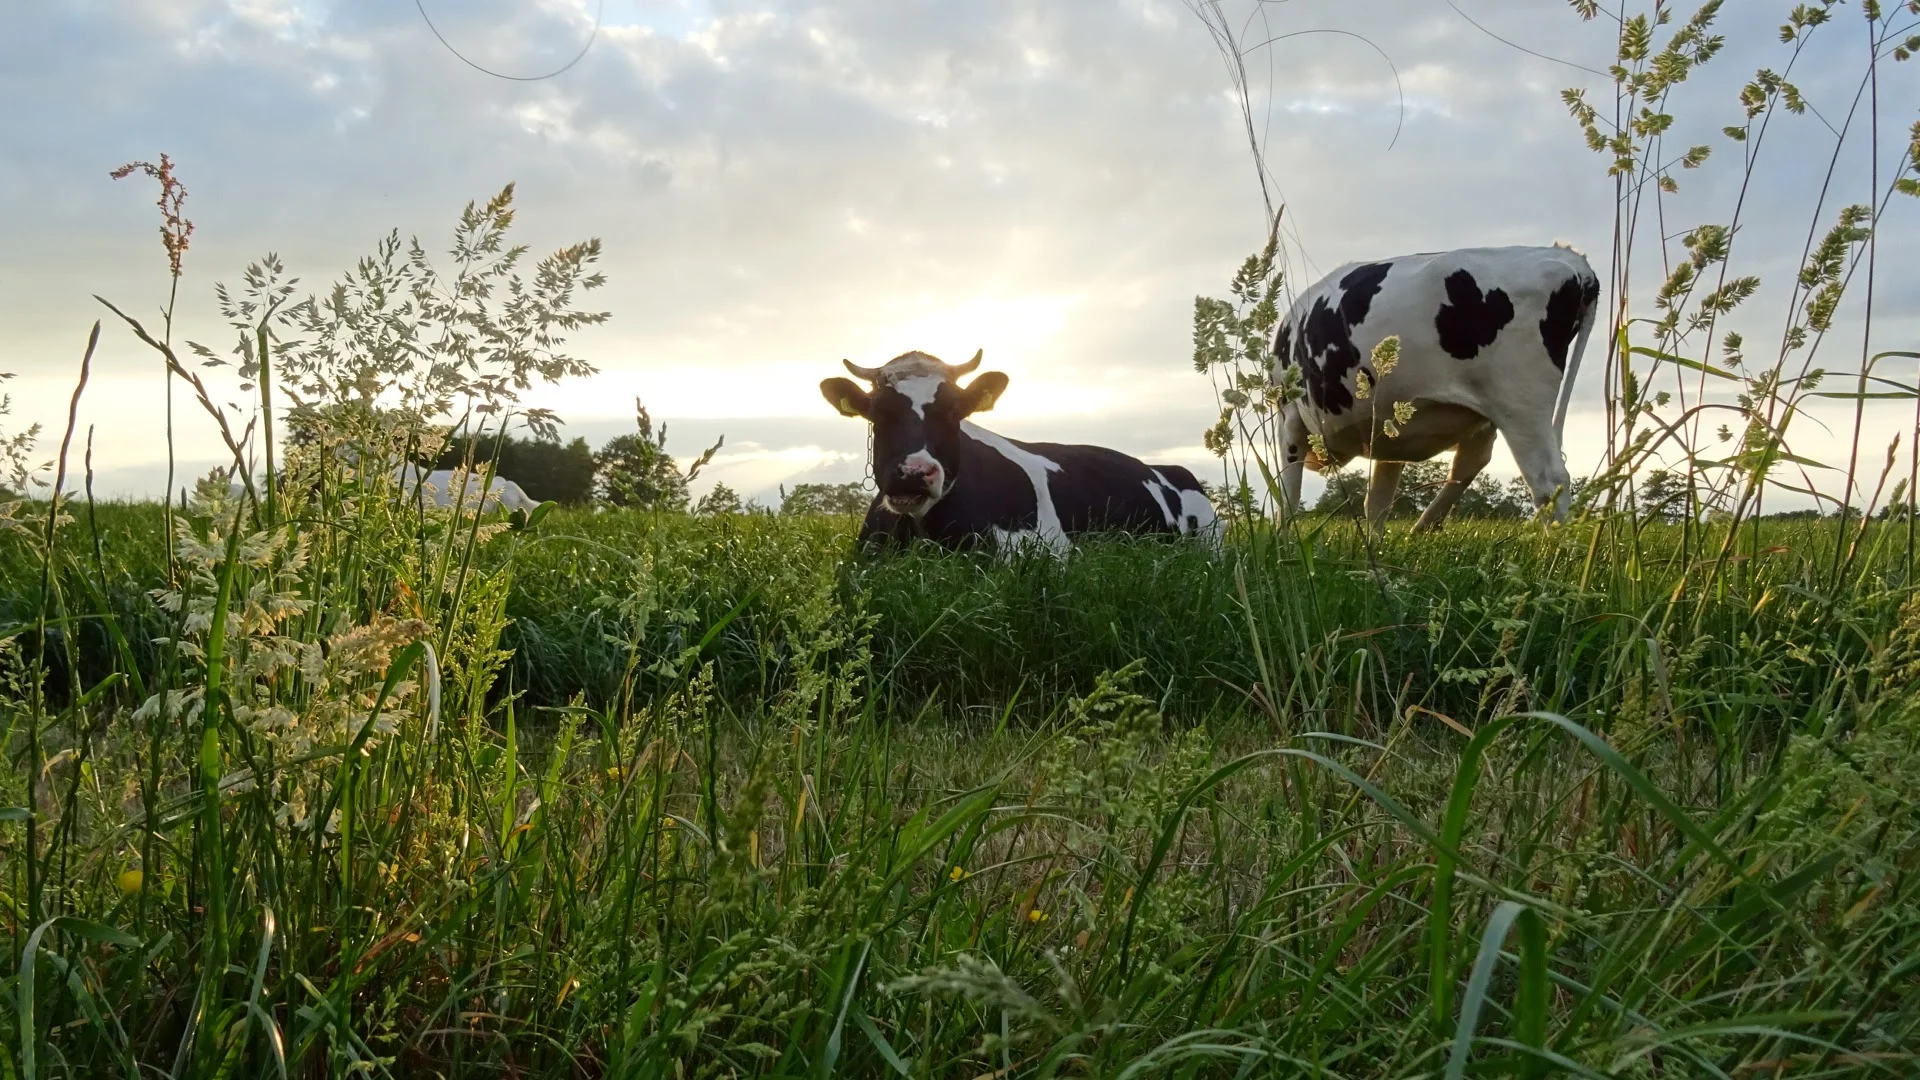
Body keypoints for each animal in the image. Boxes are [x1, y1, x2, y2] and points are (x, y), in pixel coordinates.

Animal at [1270, 244, 1601, 532]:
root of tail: (1571, 259)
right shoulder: (1390, 433)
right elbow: (1377, 502)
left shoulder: (1288, 414)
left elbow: (1288, 493)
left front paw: (1285, 543)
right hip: (1491, 414)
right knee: (1471, 464)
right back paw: (1422, 527)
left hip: (1521, 403)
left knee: (1548, 481)